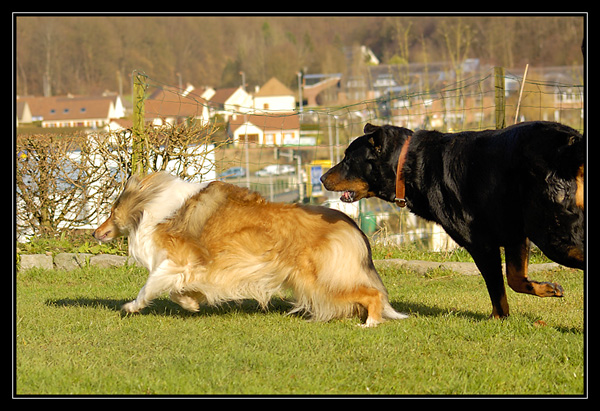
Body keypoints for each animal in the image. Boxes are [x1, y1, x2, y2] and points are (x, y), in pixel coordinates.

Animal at [92, 172, 408, 326]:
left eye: (111, 210)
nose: (94, 233)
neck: (154, 205)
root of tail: (351, 223)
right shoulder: (195, 270)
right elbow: (177, 291)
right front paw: (191, 303)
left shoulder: (178, 261)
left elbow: (149, 286)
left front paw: (131, 307)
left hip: (322, 280)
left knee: (372, 294)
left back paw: (370, 323)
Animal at [324, 122, 584, 318]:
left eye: (348, 159)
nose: (321, 177)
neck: (407, 165)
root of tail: (571, 145)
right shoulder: (515, 235)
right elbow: (515, 279)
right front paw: (548, 289)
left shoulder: (481, 244)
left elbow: (497, 287)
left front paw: (498, 317)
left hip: (551, 234)